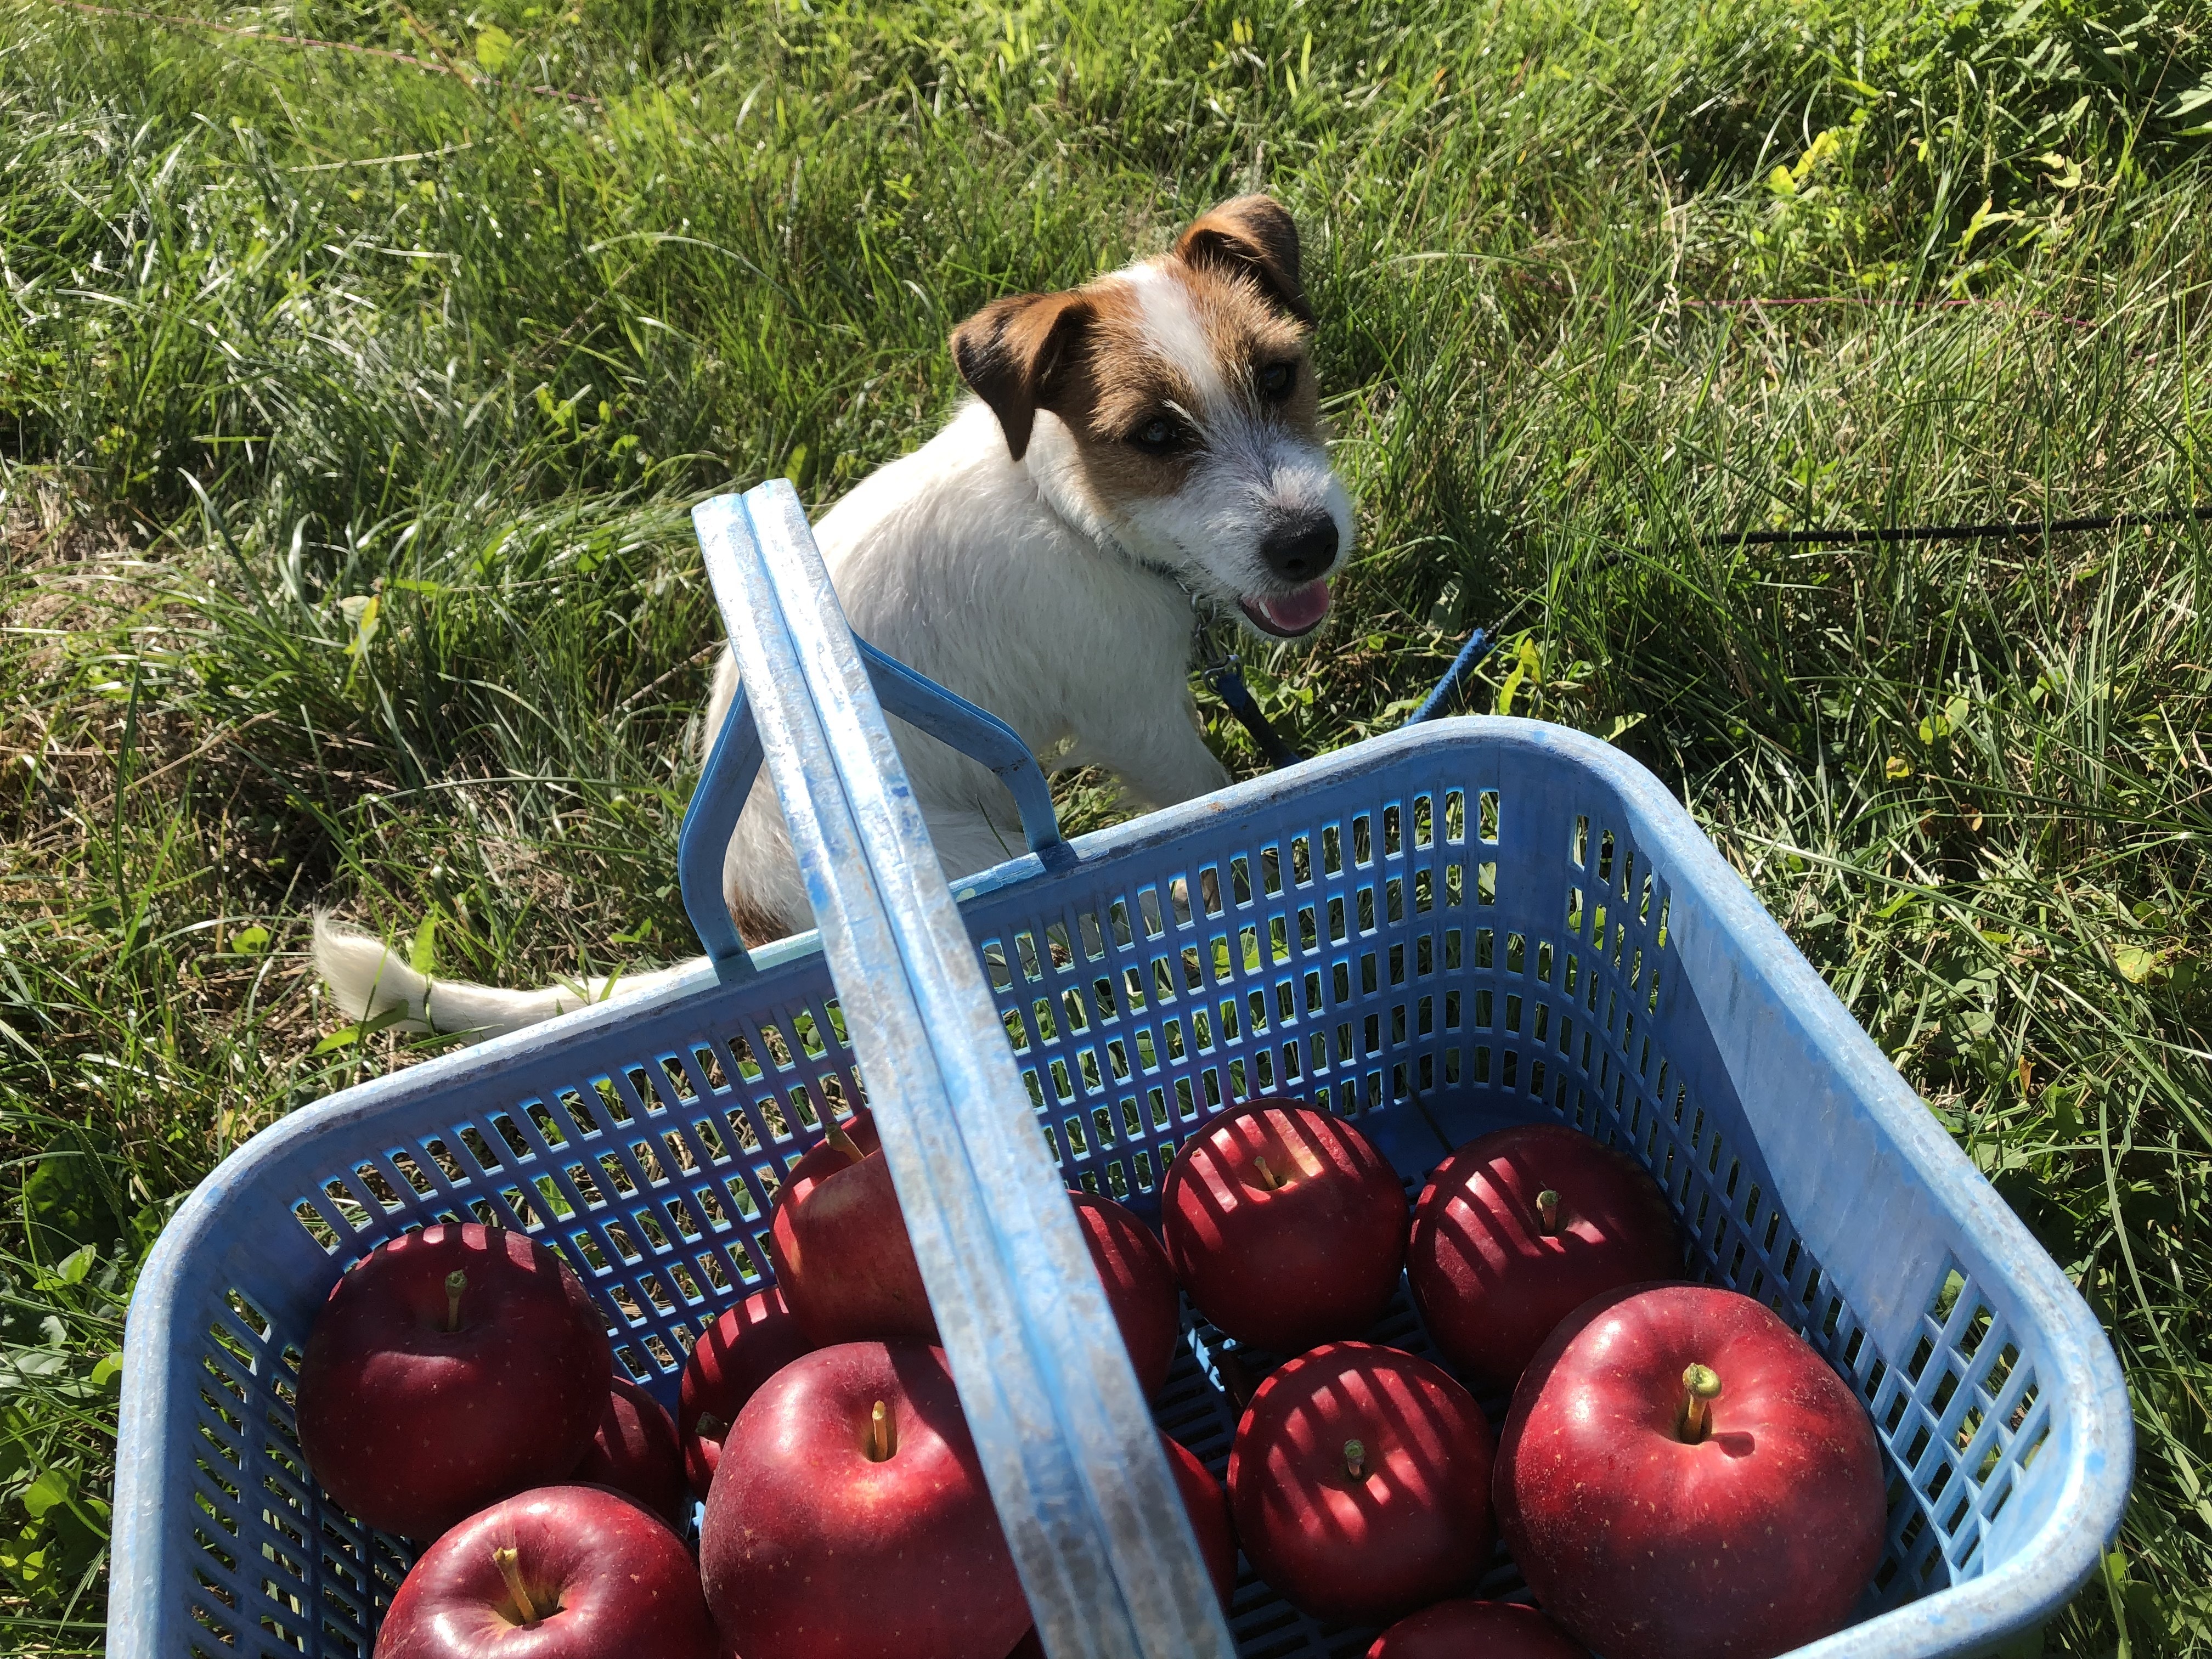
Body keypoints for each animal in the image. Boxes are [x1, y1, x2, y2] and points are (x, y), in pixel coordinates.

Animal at [314, 195, 1353, 1040]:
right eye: (1155, 435)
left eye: (1278, 375)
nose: (1308, 543)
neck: (1073, 511)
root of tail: (761, 920)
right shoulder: (1140, 727)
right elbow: (1213, 800)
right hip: (982, 856)